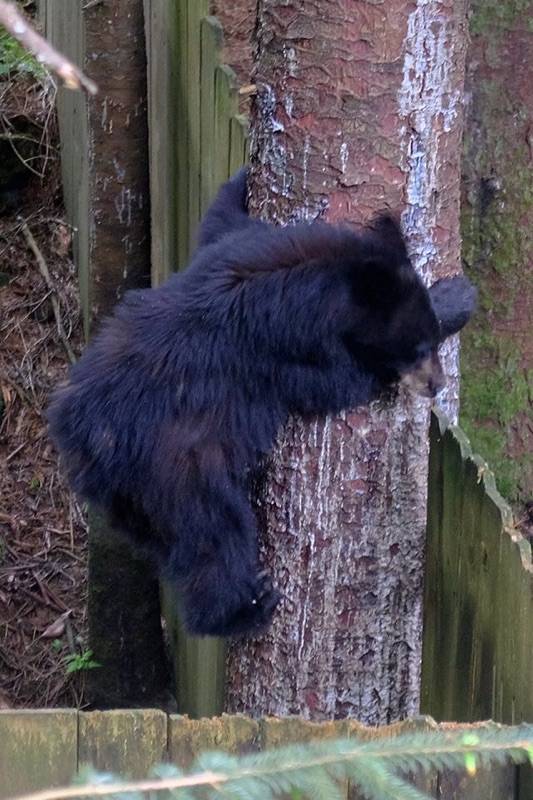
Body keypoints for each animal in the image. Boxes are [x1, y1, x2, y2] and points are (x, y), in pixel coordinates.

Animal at [47, 168, 477, 637]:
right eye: (417, 348)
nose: (436, 384)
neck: (314, 276)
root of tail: (83, 448)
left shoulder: (234, 247)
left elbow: (217, 221)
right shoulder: (284, 347)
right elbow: (337, 382)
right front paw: (455, 299)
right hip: (173, 468)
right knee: (213, 535)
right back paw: (244, 606)